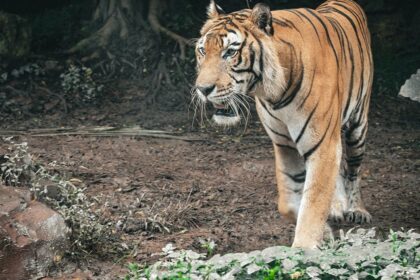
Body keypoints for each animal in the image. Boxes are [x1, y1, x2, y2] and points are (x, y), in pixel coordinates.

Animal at [192, 0, 372, 249]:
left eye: (230, 52)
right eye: (202, 50)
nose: (203, 89)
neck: (274, 93)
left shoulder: (322, 144)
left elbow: (313, 200)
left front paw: (305, 247)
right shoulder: (285, 144)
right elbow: (289, 203)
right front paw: (325, 233)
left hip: (357, 127)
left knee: (353, 170)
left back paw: (357, 209)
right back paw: (336, 209)